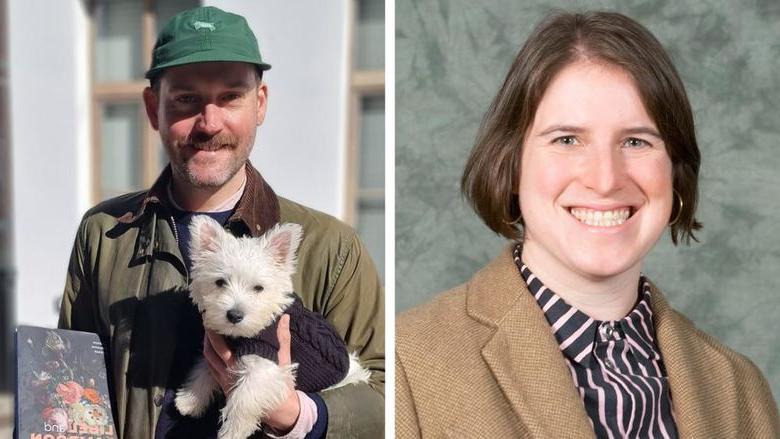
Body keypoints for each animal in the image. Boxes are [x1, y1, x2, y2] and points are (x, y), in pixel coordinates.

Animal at [174, 217, 368, 439]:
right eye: (220, 282)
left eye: (258, 288)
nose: (234, 315)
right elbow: (203, 369)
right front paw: (189, 400)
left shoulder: (265, 364)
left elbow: (244, 399)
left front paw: (233, 431)